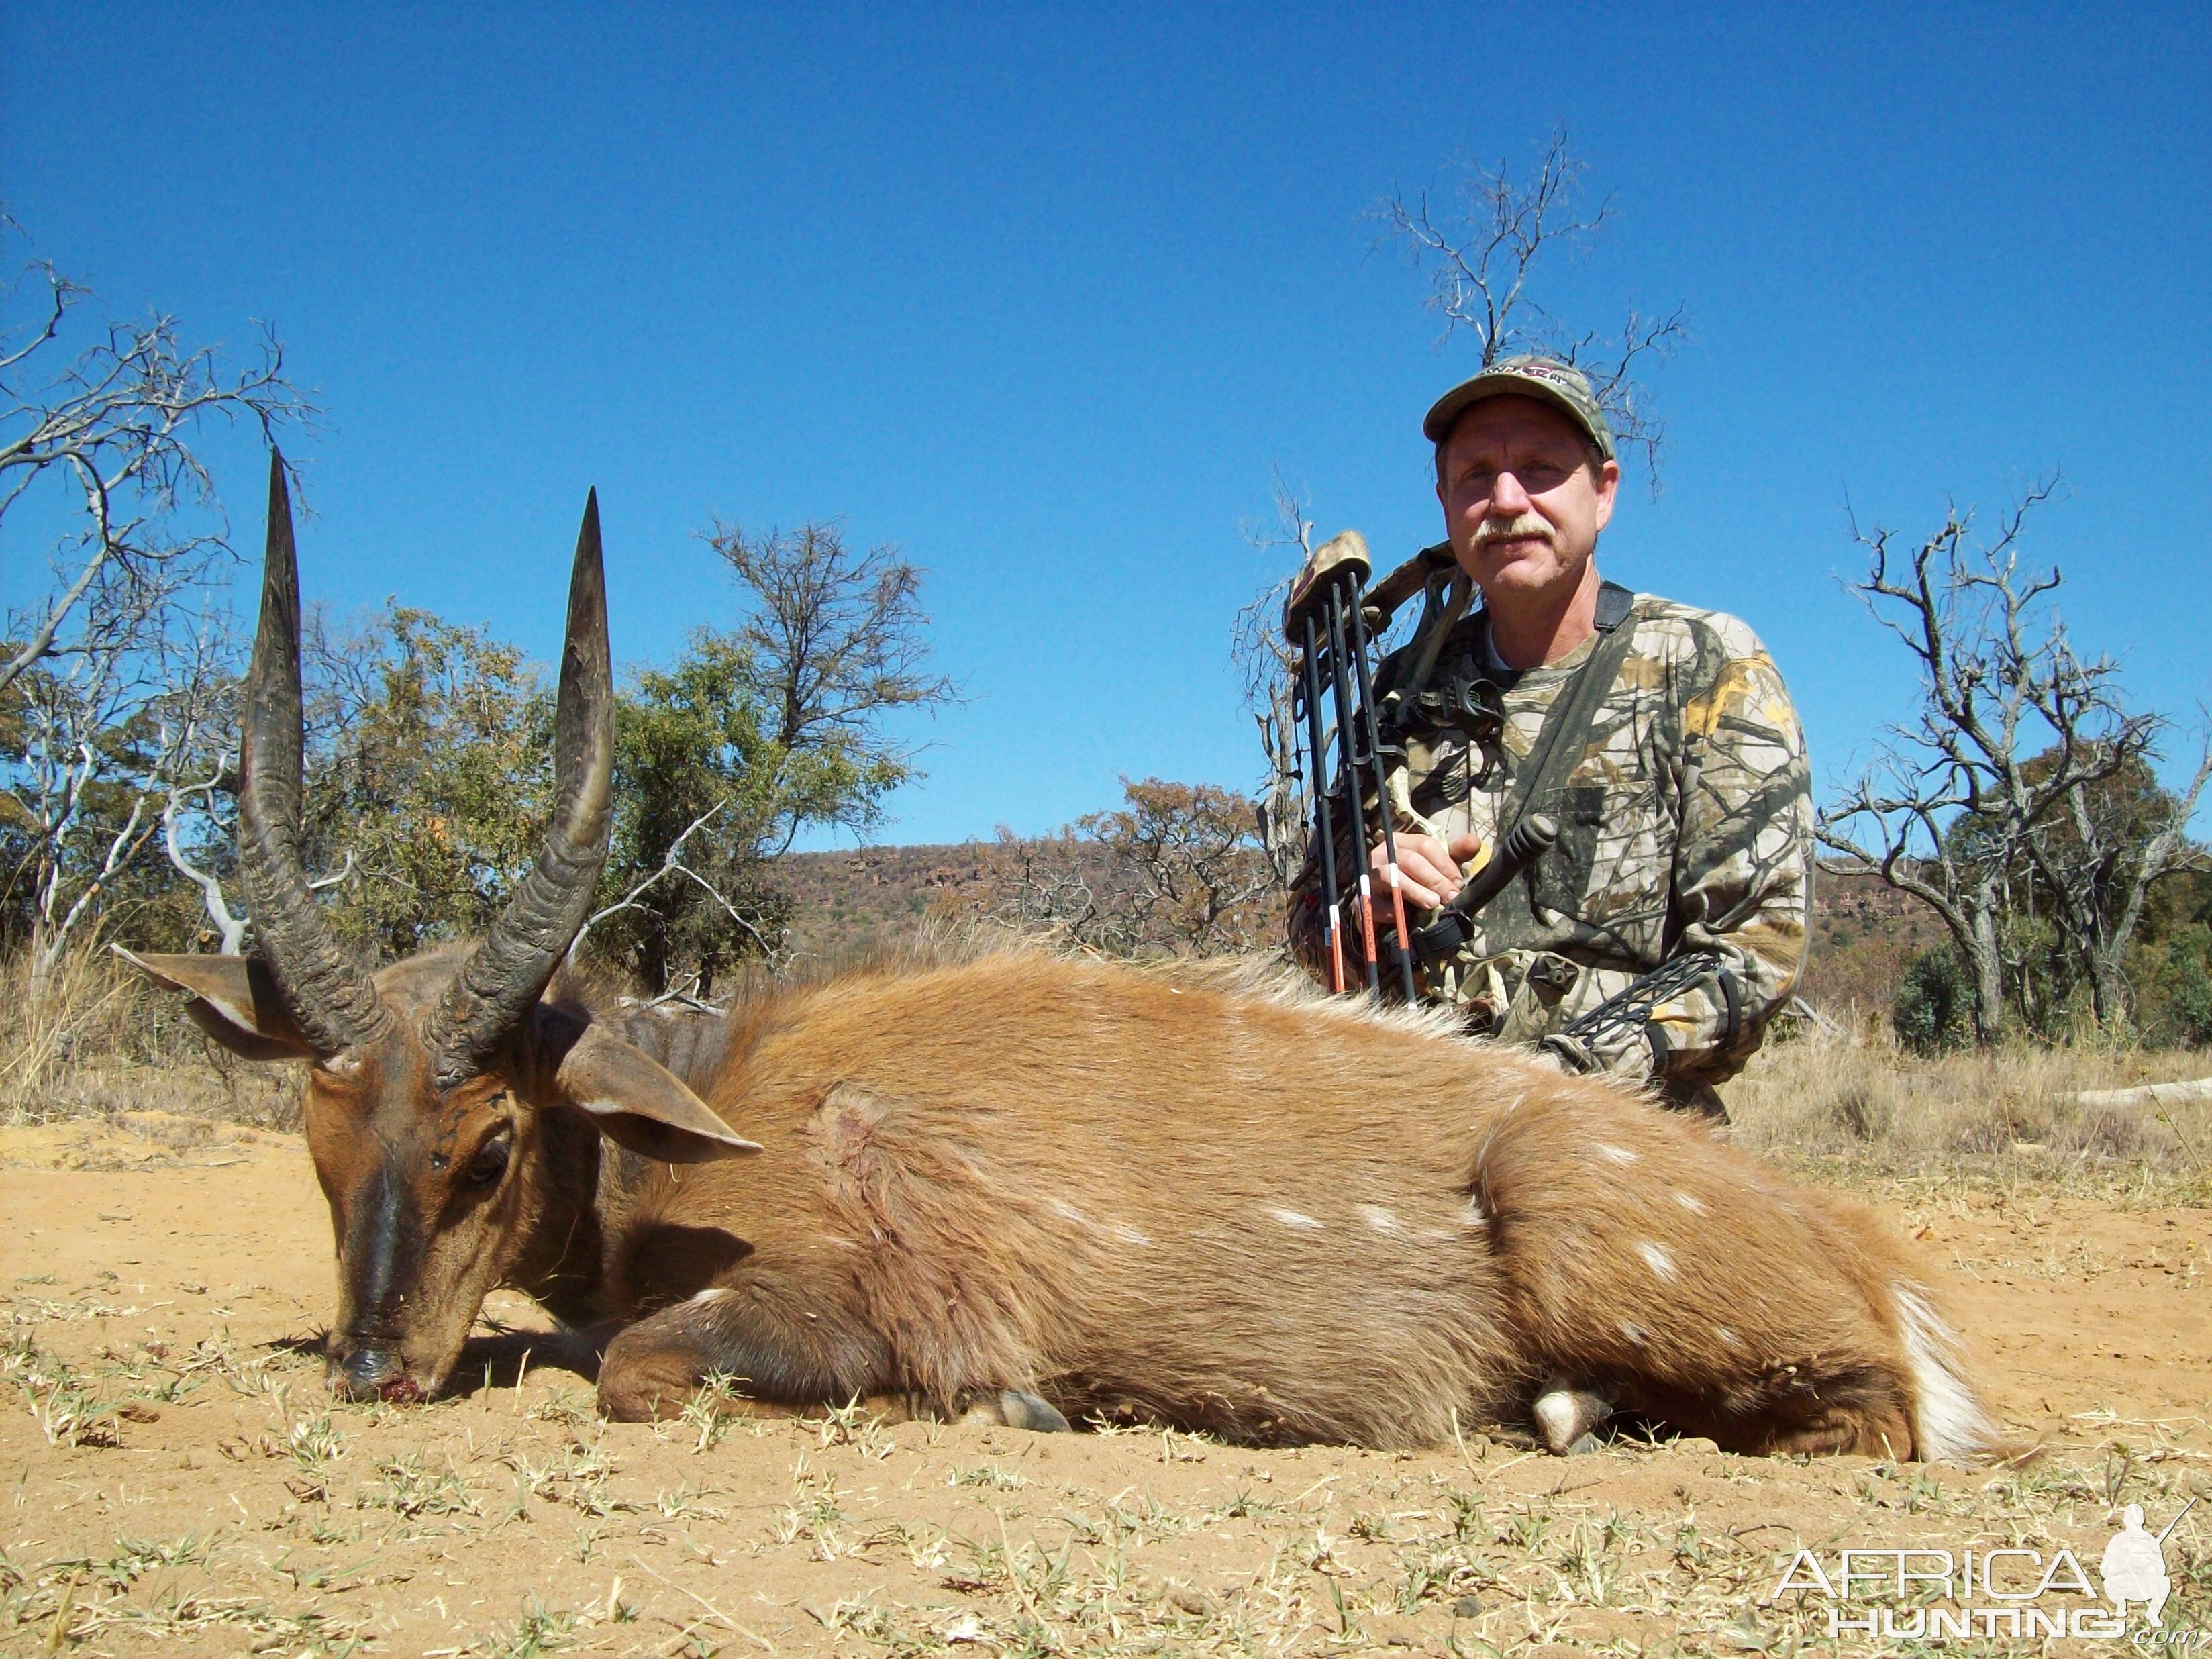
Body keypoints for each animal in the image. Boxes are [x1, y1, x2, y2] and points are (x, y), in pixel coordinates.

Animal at [116, 462, 1991, 1460]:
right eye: (314, 1139)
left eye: (492, 1141)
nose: (370, 1366)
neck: (725, 1108)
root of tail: (1862, 1254)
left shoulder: (859, 1298)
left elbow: (640, 1366)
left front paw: (1014, 1407)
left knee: (1867, 1412)